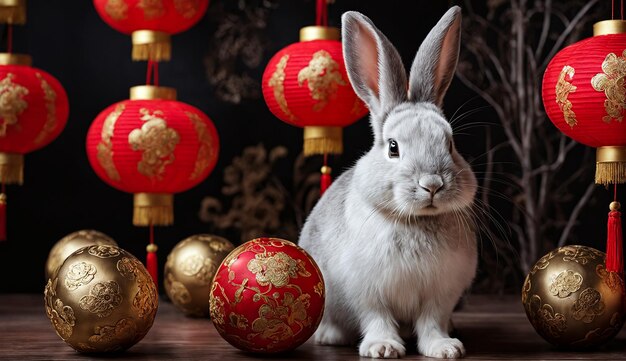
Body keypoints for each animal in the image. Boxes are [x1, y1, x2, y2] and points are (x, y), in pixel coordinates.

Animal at [300, 5, 476, 358]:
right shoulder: (367, 292)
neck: (416, 221)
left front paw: (445, 348)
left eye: (450, 144)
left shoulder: (440, 295)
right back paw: (330, 336)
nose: (432, 184)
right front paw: (382, 348)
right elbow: (376, 318)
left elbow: (431, 322)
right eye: (393, 147)